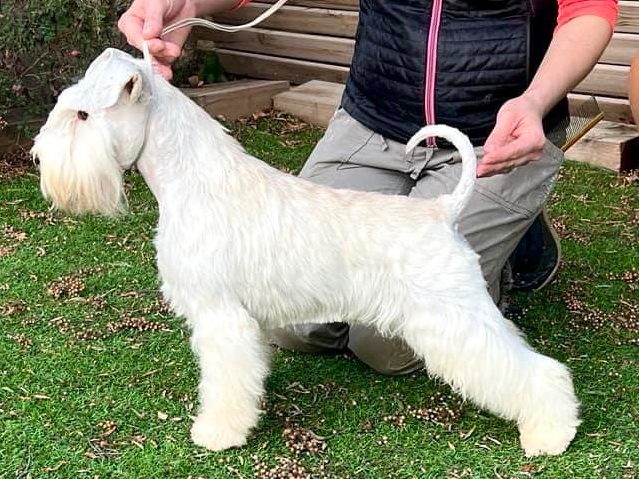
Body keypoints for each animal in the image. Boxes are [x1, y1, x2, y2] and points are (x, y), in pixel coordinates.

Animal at [32, 47, 584, 458]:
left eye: (82, 114)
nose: (38, 157)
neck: (196, 179)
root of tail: (440, 211)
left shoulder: (219, 316)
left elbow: (224, 383)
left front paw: (218, 432)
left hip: (453, 318)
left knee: (535, 370)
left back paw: (551, 433)